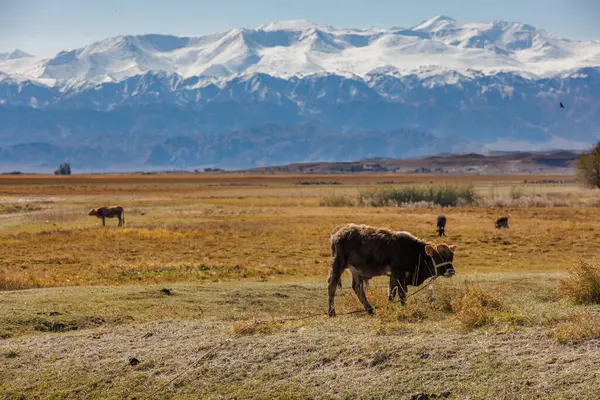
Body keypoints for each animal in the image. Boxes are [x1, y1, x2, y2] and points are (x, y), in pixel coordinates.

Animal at [326, 223, 458, 318]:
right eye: (439, 256)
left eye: (451, 257)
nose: (451, 271)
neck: (415, 252)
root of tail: (339, 230)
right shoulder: (399, 273)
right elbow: (401, 293)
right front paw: (404, 308)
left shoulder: (394, 277)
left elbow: (392, 293)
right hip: (338, 264)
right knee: (332, 285)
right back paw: (331, 311)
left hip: (356, 271)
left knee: (358, 288)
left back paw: (369, 309)